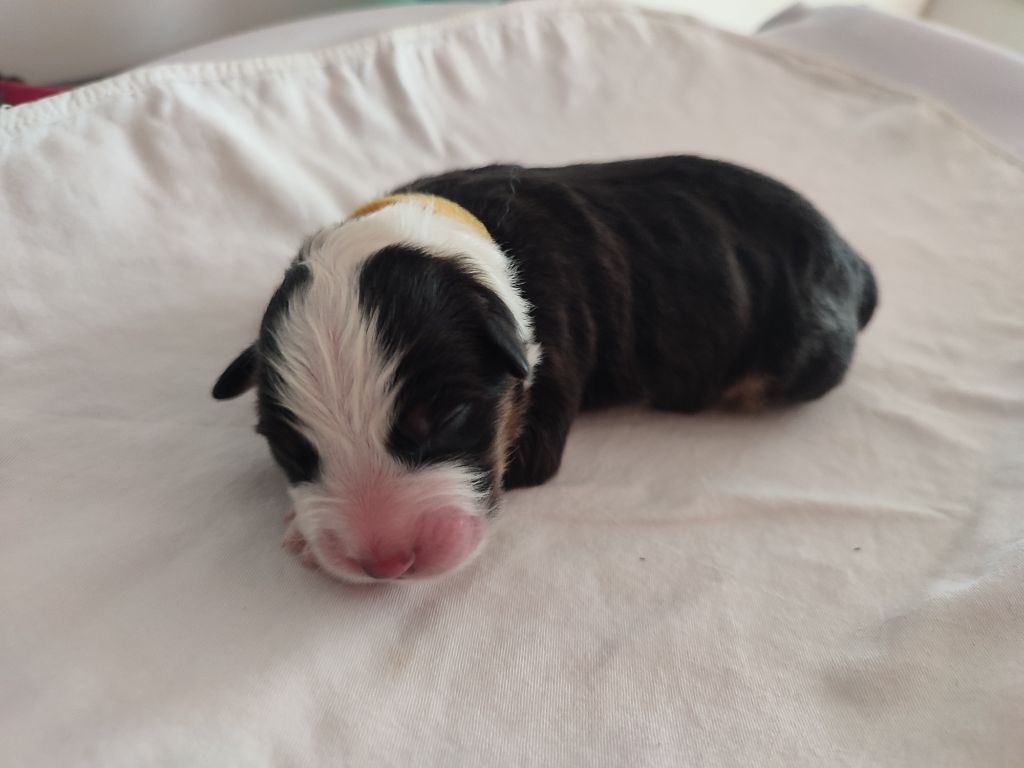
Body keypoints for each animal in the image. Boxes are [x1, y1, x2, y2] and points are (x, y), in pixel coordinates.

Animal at [212, 156, 877, 583]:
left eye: (446, 416)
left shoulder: (547, 378)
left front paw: (299, 535)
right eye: (291, 449)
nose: (386, 562)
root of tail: (853, 258)